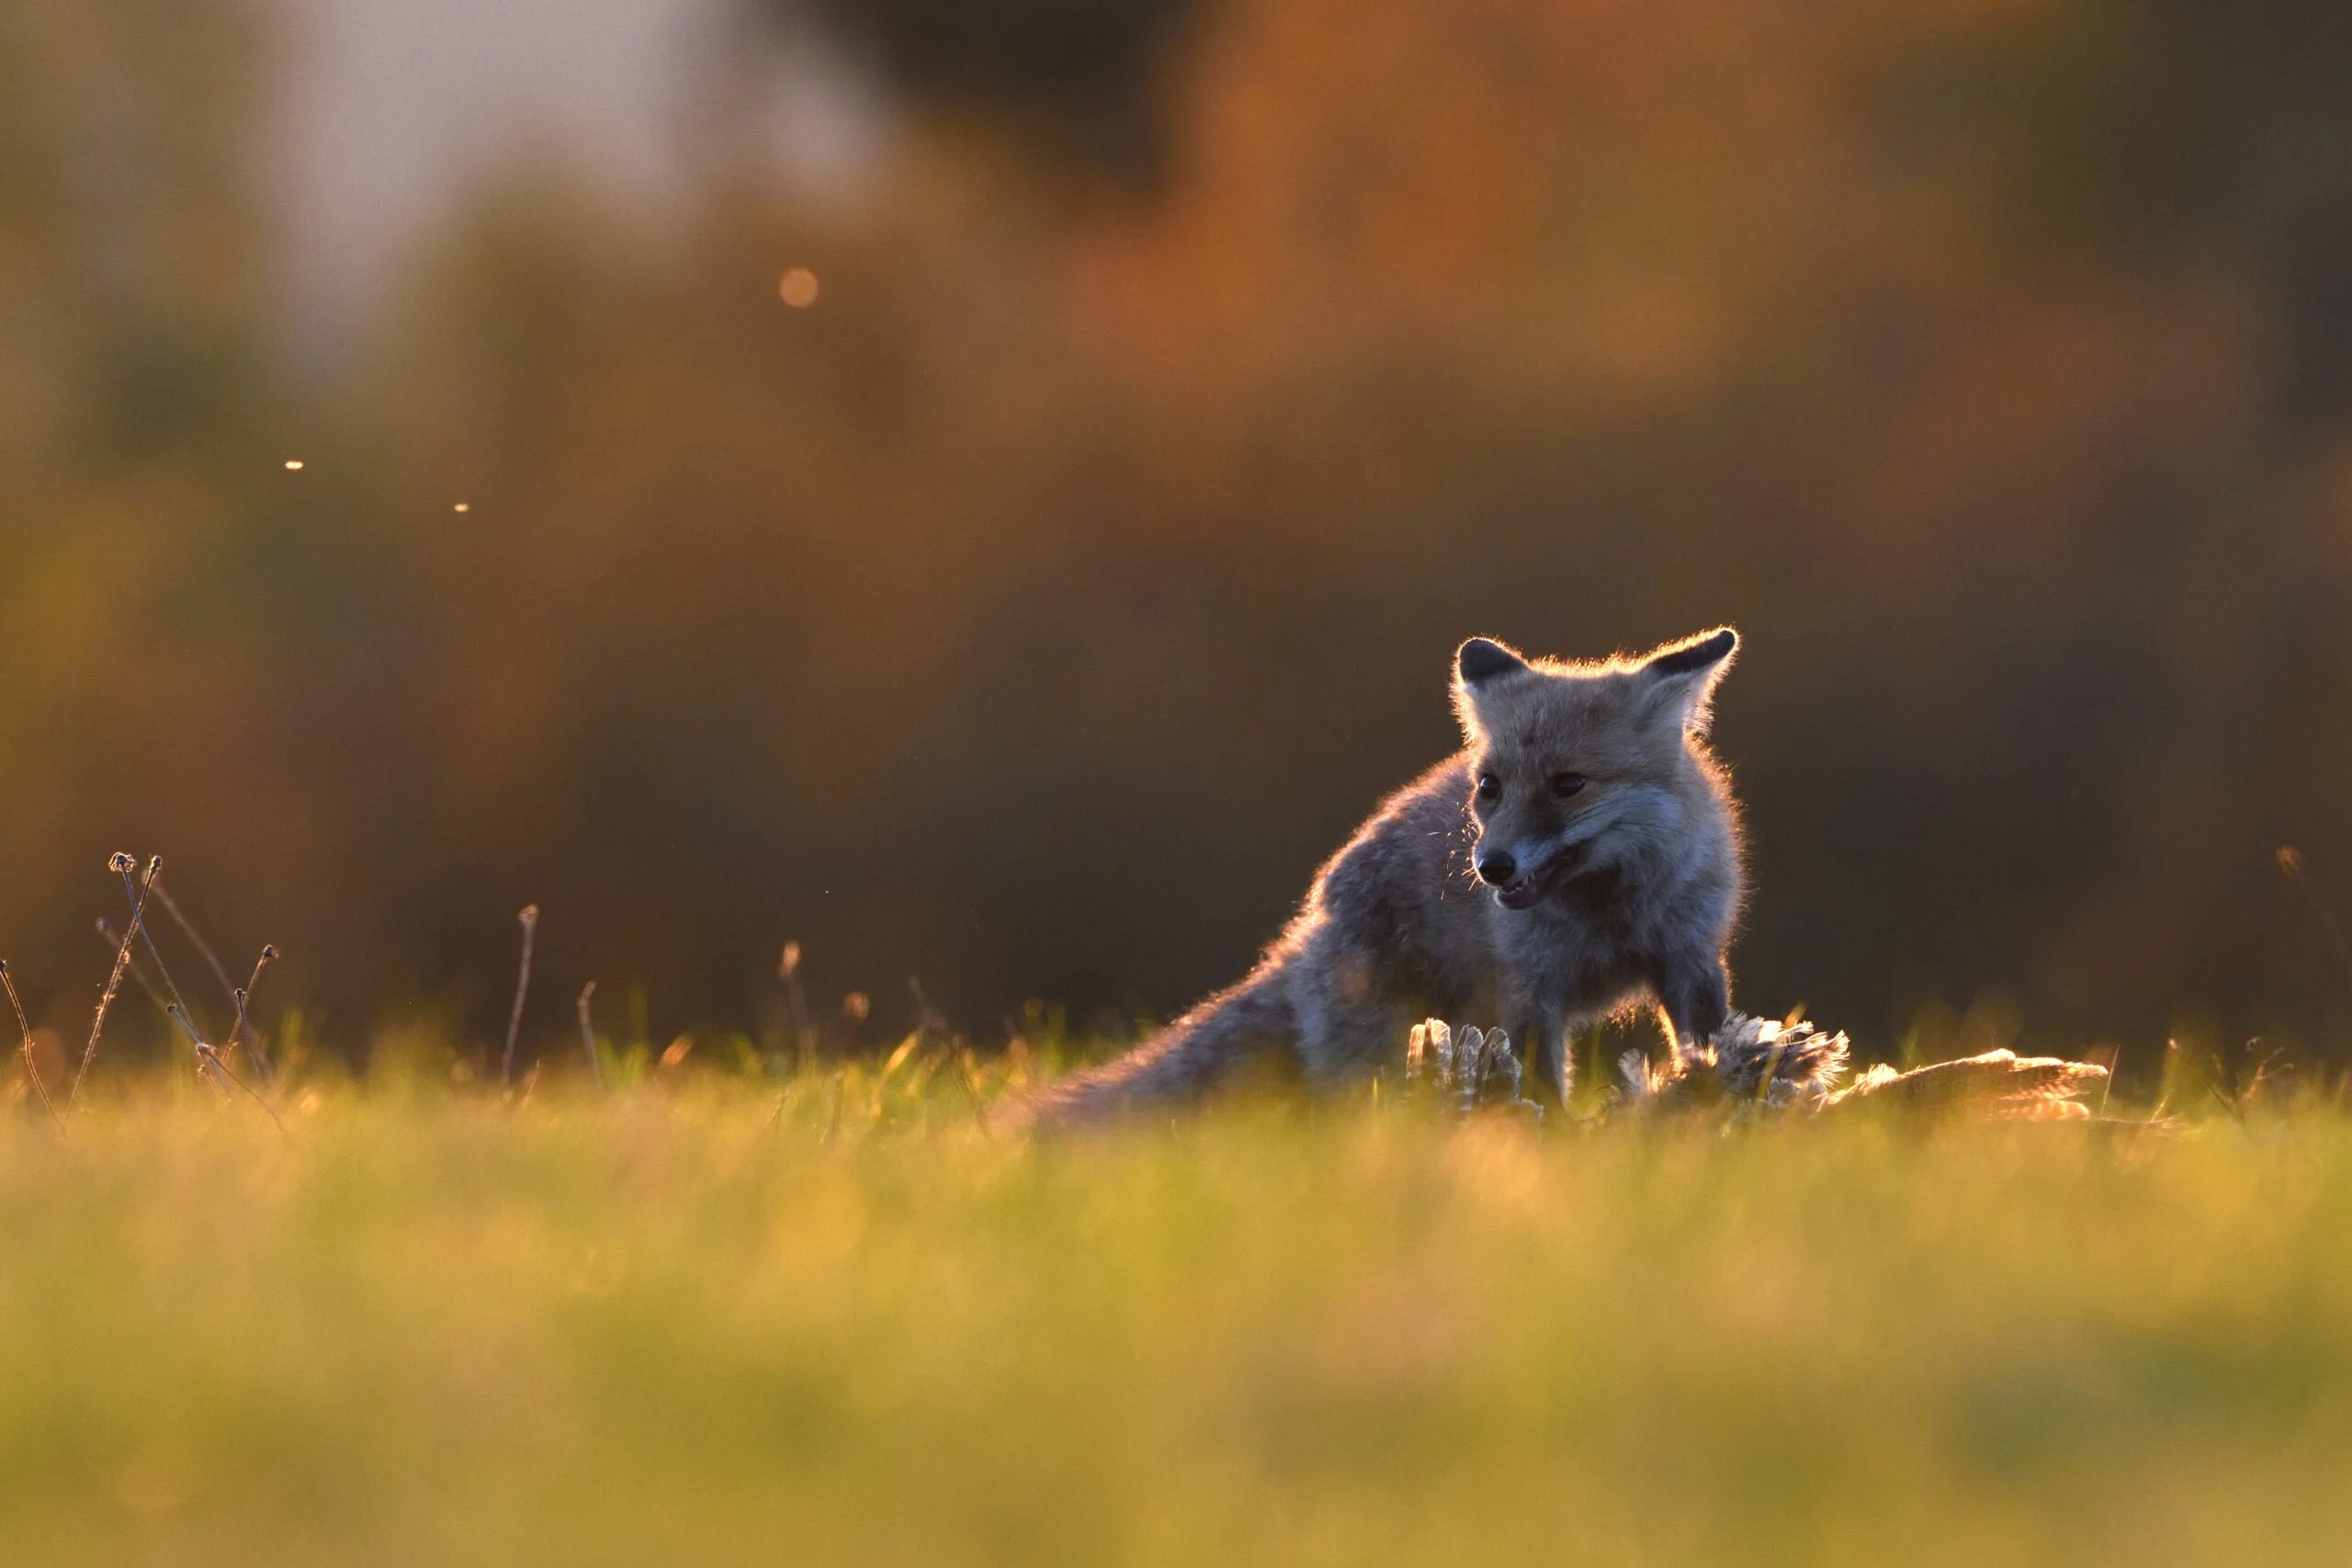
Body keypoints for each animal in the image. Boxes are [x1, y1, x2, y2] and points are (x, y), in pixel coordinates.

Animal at [1035, 629, 1749, 1128]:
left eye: (1569, 784)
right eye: (1490, 787)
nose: (1491, 866)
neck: (1608, 916)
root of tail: (1302, 929)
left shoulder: (1688, 957)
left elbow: (1710, 1043)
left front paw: (1717, 1104)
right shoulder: (1530, 993)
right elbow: (1546, 1090)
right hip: (1382, 1049)